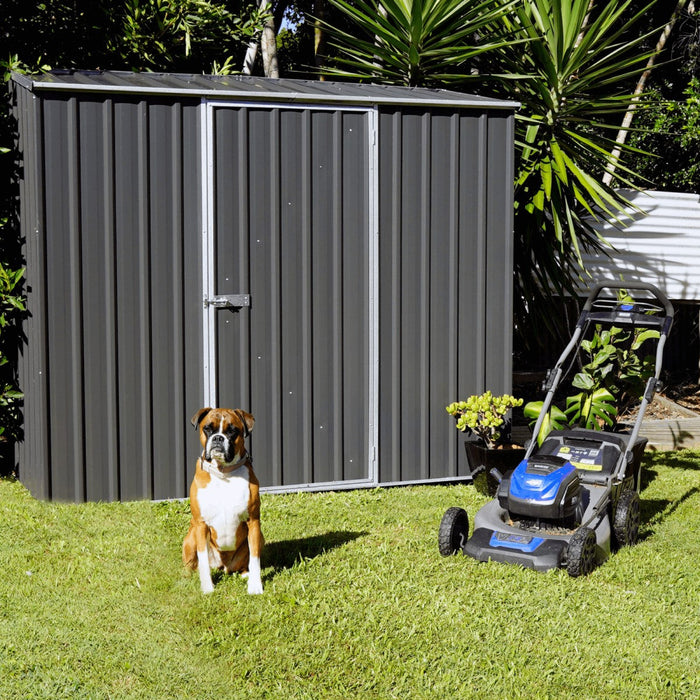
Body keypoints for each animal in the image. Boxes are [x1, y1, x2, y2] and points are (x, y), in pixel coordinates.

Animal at [182, 408, 264, 592]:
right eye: (207, 428)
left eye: (232, 431)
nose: (218, 438)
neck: (224, 474)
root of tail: (223, 567)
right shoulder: (201, 525)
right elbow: (203, 559)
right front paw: (207, 588)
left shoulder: (253, 522)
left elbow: (255, 558)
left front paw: (255, 586)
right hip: (190, 538)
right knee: (191, 564)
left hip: (259, 537)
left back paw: (245, 573)